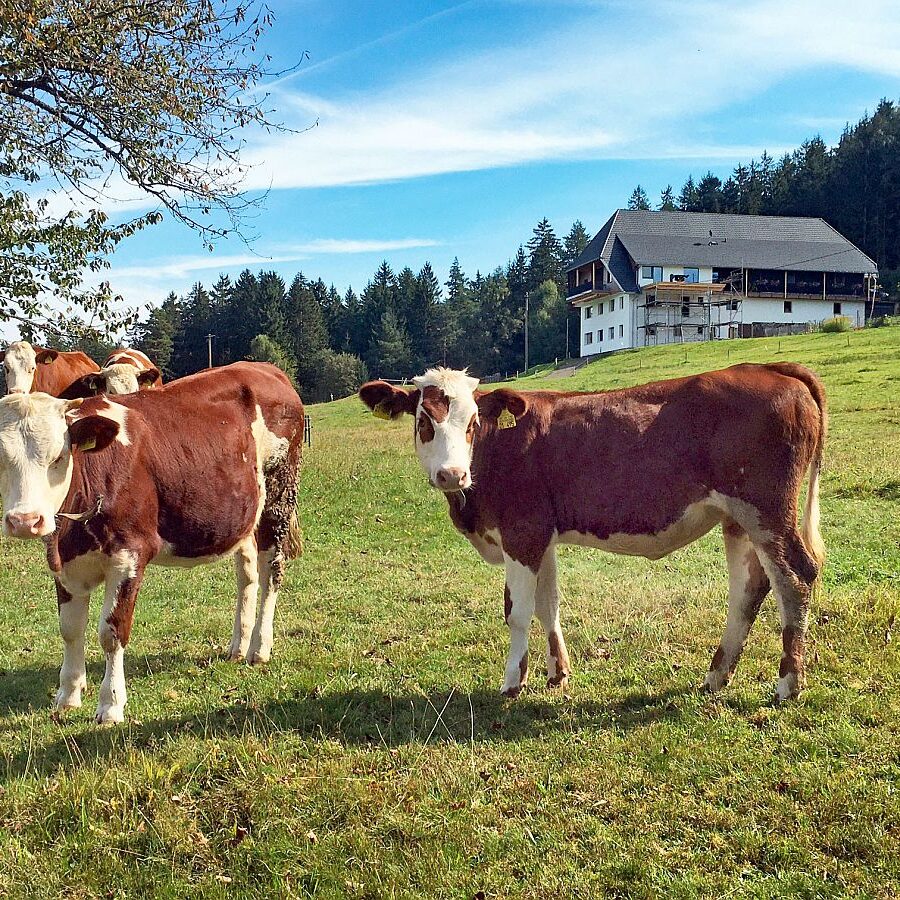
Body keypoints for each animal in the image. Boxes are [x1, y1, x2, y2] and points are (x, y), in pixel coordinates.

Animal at [0, 362, 304, 724]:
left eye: (59, 456)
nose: (25, 521)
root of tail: (263, 367)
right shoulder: (65, 564)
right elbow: (70, 628)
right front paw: (68, 695)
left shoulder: (129, 555)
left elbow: (112, 632)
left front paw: (110, 704)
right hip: (243, 512)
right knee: (247, 576)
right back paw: (238, 645)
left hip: (279, 495)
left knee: (271, 572)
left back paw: (259, 647)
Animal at [359, 363, 826, 703]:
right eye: (424, 420)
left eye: (473, 421)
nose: (452, 474)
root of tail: (769, 369)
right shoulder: (542, 535)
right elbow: (548, 606)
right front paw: (557, 673)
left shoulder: (521, 532)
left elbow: (517, 612)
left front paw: (513, 682)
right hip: (738, 519)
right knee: (748, 588)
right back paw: (716, 676)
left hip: (766, 509)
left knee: (795, 579)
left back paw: (788, 684)